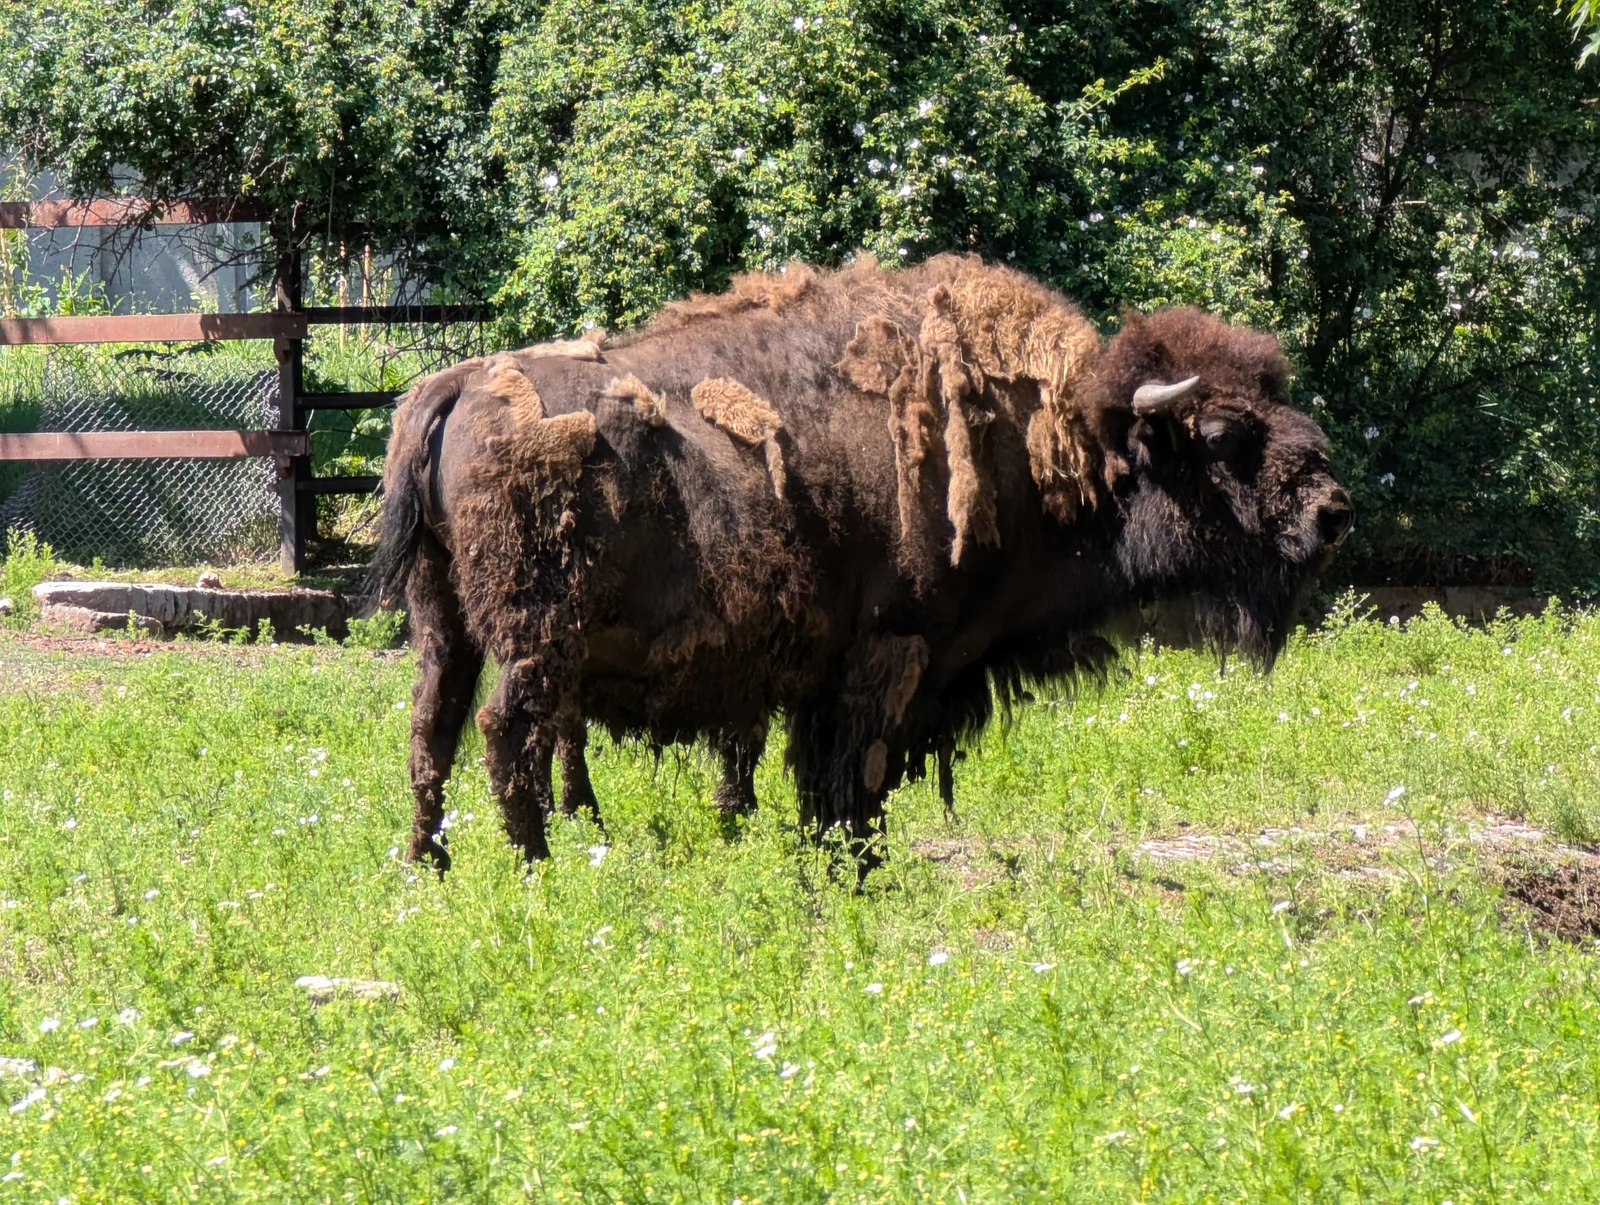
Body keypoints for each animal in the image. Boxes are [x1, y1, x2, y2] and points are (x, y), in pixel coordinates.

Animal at [373, 254, 1350, 871]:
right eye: (1221, 435)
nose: (1333, 512)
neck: (1058, 449)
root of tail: (453, 386)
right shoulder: (893, 657)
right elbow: (859, 779)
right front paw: (857, 869)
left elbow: (819, 777)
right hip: (537, 639)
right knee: (508, 734)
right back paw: (536, 868)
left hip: (445, 623)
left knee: (433, 728)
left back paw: (432, 867)